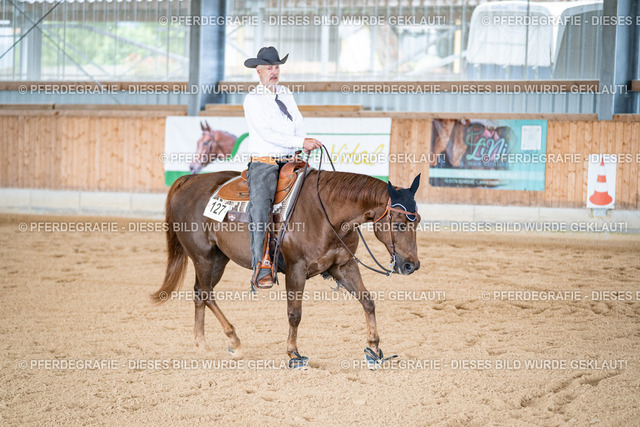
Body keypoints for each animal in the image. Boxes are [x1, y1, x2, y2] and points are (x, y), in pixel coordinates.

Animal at [152, 167, 422, 368]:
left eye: (417, 221)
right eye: (399, 223)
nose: (412, 265)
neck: (326, 212)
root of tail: (189, 180)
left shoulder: (343, 265)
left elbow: (367, 301)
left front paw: (374, 348)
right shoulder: (296, 268)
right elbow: (295, 313)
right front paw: (294, 353)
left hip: (218, 258)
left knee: (200, 292)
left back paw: (202, 344)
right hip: (204, 256)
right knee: (206, 293)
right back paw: (234, 341)